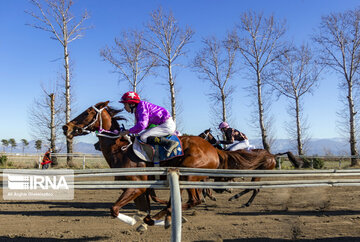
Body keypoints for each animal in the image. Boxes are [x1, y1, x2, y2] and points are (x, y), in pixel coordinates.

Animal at [63, 101, 221, 228]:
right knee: (189, 200)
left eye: (87, 112)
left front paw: (137, 221)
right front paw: (143, 221)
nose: (66, 127)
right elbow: (143, 211)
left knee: (194, 200)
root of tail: (213, 150)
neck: (121, 151)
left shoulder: (137, 187)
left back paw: (165, 217)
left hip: (187, 174)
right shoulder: (137, 189)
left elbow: (114, 210)